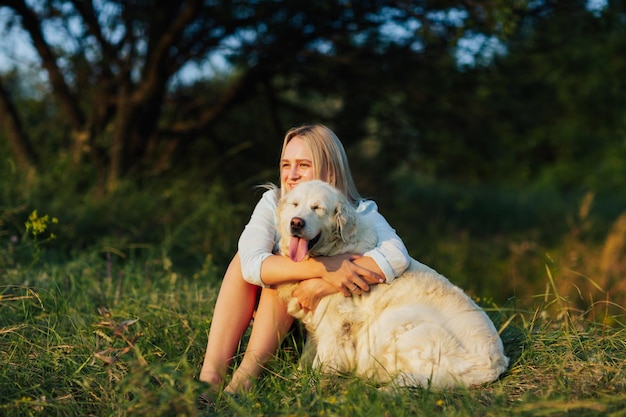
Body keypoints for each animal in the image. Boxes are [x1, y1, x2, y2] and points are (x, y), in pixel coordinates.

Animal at [274, 180, 508, 388]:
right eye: (295, 204)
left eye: (317, 208)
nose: (296, 223)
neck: (335, 249)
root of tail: (495, 365)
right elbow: (309, 352)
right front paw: (298, 376)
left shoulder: (336, 325)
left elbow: (324, 359)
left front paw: (312, 383)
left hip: (398, 323)